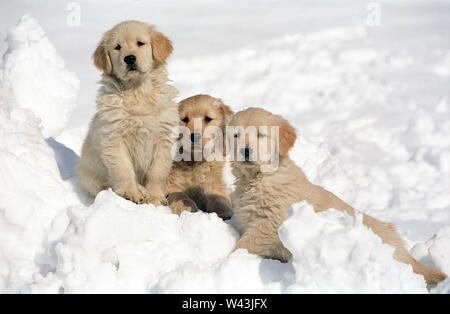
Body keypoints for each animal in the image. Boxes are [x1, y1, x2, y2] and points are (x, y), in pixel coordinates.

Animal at [77, 20, 178, 205]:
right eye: (117, 47)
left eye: (140, 43)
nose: (129, 58)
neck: (136, 91)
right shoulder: (114, 139)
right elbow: (123, 170)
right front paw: (130, 193)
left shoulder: (163, 138)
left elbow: (158, 171)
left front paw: (155, 197)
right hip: (88, 175)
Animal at [229, 107, 446, 284]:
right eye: (236, 135)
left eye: (261, 135)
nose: (245, 151)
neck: (257, 178)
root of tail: (404, 252)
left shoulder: (267, 224)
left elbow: (242, 247)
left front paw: (224, 261)